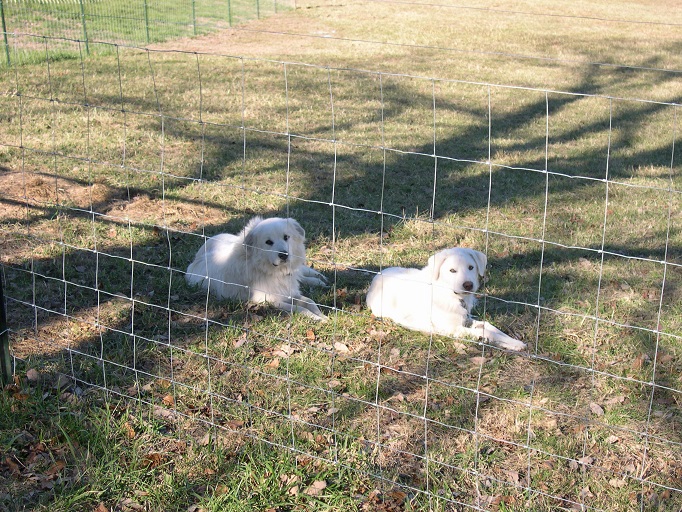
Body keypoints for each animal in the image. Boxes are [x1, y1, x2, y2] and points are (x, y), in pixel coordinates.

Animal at [185, 216, 326, 320]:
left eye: (286, 237)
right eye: (268, 242)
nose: (284, 255)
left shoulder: (290, 292)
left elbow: (310, 301)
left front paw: (322, 315)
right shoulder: (269, 300)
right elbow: (301, 308)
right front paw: (317, 317)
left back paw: (319, 279)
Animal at [366, 248, 524, 352]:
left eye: (471, 267)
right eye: (452, 271)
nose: (468, 285)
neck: (452, 296)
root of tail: (377, 275)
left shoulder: (466, 319)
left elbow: (489, 326)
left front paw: (514, 342)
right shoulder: (453, 329)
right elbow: (485, 332)